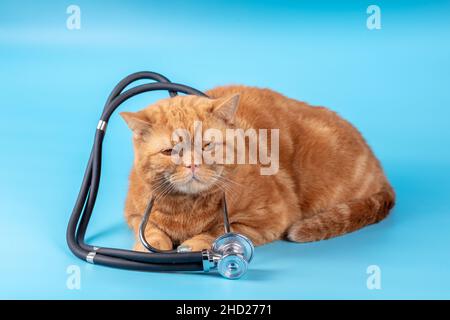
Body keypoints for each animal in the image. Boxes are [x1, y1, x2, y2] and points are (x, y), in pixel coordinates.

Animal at [121, 85, 396, 252]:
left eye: (206, 145)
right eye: (170, 151)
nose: (192, 164)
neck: (187, 208)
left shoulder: (271, 216)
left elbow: (220, 230)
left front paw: (195, 242)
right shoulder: (133, 214)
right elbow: (150, 229)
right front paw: (152, 243)